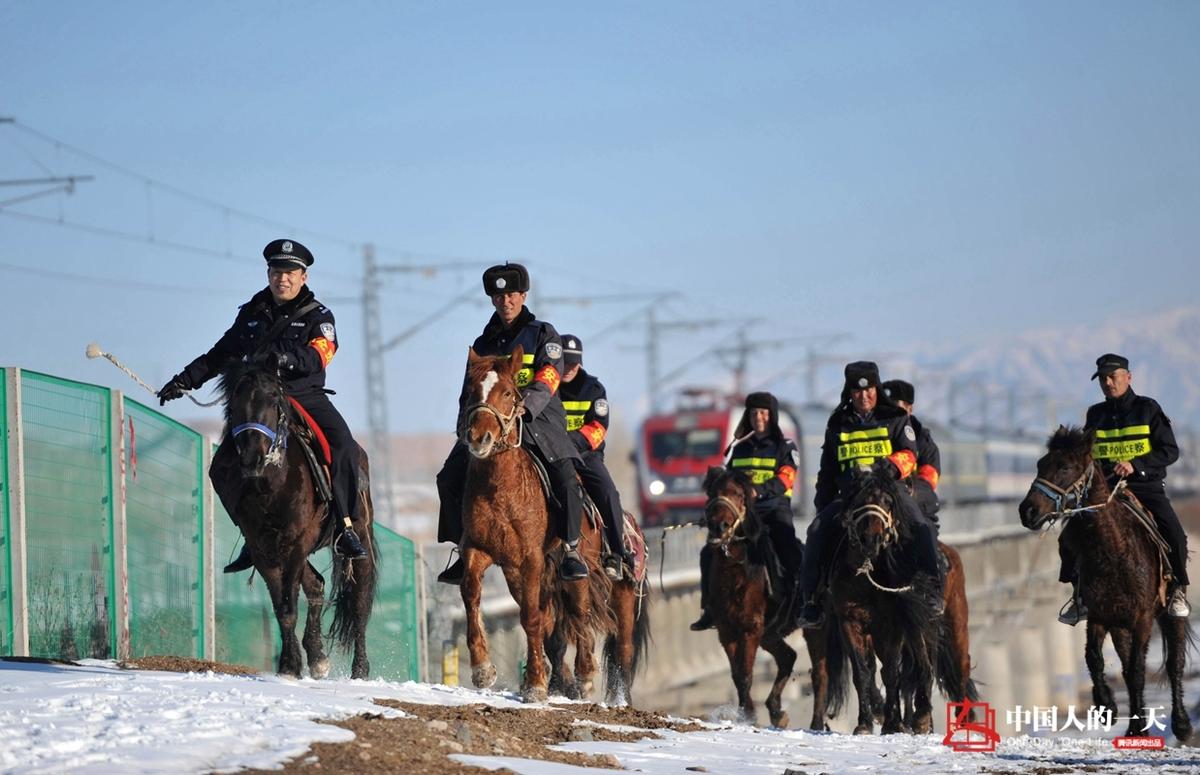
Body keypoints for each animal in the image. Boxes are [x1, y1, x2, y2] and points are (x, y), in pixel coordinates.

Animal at [208, 359, 372, 681]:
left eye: (273, 398)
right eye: (235, 401)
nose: (252, 458)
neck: (270, 485)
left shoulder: (295, 543)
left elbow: (289, 604)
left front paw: (291, 664)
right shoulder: (263, 548)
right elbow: (282, 607)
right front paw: (289, 665)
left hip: (358, 539)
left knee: (359, 601)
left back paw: (359, 670)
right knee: (317, 585)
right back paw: (318, 658)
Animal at [453, 347, 614, 705]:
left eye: (508, 392)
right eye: (469, 392)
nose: (479, 438)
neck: (500, 487)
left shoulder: (531, 559)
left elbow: (530, 617)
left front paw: (536, 686)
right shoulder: (479, 550)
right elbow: (471, 595)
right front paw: (482, 669)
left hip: (577, 567)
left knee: (578, 613)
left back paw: (583, 676)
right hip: (519, 573)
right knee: (550, 619)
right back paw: (563, 679)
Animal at [696, 470, 835, 734]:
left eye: (739, 494)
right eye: (712, 492)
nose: (719, 527)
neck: (736, 570)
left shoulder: (750, 628)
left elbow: (745, 674)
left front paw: (749, 716)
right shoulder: (727, 631)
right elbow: (737, 674)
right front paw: (748, 713)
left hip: (814, 630)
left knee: (820, 674)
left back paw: (815, 723)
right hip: (770, 634)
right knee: (788, 657)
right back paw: (776, 711)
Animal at [1017, 427, 1195, 743]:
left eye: (1064, 467)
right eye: (1040, 464)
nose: (1027, 511)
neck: (1114, 549)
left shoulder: (1142, 618)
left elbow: (1137, 670)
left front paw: (1134, 724)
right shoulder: (1100, 615)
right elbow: (1095, 659)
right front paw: (1108, 707)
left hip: (1169, 616)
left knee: (1174, 665)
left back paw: (1182, 725)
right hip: (1119, 625)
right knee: (1125, 664)